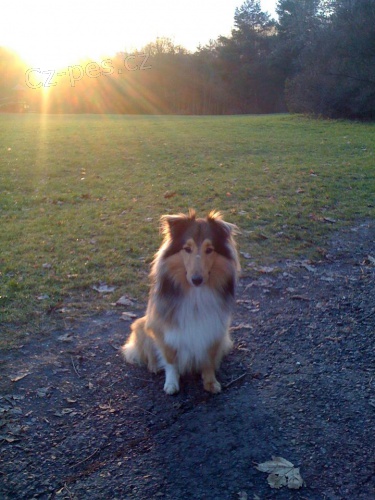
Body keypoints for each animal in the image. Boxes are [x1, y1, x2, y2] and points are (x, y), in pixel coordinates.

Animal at [122, 209, 242, 392]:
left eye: (209, 249)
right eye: (187, 249)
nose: (197, 280)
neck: (196, 295)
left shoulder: (213, 329)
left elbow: (208, 359)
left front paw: (211, 382)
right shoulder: (164, 329)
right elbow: (171, 360)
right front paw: (171, 384)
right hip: (141, 326)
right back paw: (154, 366)